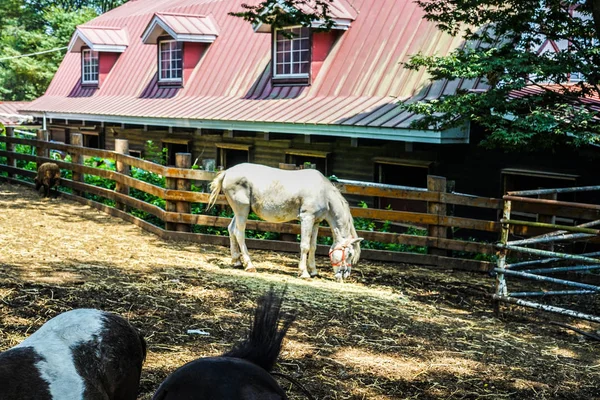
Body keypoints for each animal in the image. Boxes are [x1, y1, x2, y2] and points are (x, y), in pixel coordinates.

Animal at [209, 162, 364, 282]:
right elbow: (305, 246)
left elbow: (313, 246)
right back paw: (250, 265)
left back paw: (236, 261)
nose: (345, 275)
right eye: (349, 254)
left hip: (241, 211)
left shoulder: (315, 222)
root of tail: (227, 172)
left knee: (231, 229)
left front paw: (313, 271)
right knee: (239, 233)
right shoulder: (307, 218)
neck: (324, 193)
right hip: (242, 210)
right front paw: (304, 273)